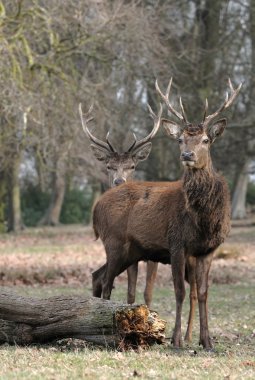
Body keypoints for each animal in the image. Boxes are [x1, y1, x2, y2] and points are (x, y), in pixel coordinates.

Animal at [78, 102, 162, 308]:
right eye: (109, 166)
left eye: (132, 166)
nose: (119, 181)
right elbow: (130, 293)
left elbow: (147, 292)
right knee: (100, 276)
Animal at [91, 78, 241, 348]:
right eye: (180, 140)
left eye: (205, 139)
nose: (187, 155)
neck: (204, 220)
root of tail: (95, 209)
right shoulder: (176, 243)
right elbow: (179, 292)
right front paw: (177, 340)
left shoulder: (209, 249)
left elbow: (203, 292)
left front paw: (207, 341)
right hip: (114, 242)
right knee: (107, 281)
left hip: (131, 251)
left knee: (99, 276)